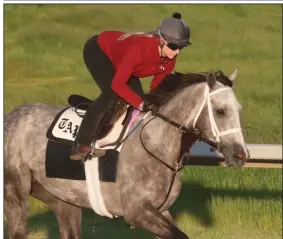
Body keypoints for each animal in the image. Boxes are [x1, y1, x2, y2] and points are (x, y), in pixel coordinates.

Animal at [3, 68, 250, 238]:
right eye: (220, 111)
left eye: (238, 110)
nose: (240, 154)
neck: (156, 143)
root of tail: (10, 116)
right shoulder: (137, 211)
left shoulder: (161, 210)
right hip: (15, 191)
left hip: (61, 198)